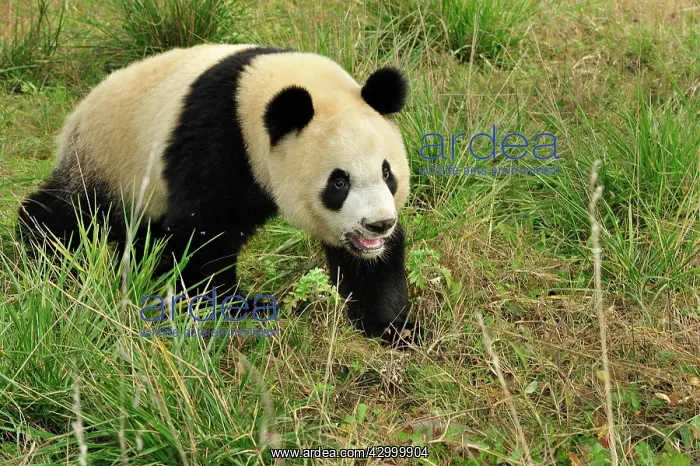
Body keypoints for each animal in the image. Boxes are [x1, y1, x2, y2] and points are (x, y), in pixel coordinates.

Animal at [17, 44, 418, 344]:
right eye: (339, 183)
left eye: (387, 173)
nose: (378, 225)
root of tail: (77, 113)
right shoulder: (217, 139)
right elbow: (203, 233)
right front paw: (238, 305)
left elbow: (368, 266)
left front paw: (393, 327)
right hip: (111, 161)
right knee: (75, 214)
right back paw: (40, 252)